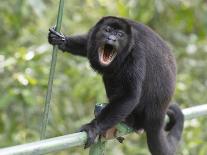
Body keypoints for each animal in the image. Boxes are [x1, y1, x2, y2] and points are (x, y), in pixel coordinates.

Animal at [49, 16, 184, 154]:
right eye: (107, 30)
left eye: (119, 35)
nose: (112, 38)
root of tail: (158, 117)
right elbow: (86, 43)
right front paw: (62, 40)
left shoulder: (136, 52)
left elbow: (129, 95)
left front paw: (93, 127)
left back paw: (130, 120)